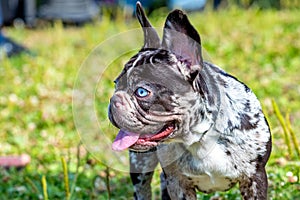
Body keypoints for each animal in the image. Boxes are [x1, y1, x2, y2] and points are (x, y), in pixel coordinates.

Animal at [108, 2, 272, 199]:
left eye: (142, 92)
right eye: (116, 84)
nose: (113, 100)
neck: (200, 137)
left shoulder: (254, 178)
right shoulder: (179, 184)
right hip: (141, 163)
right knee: (143, 188)